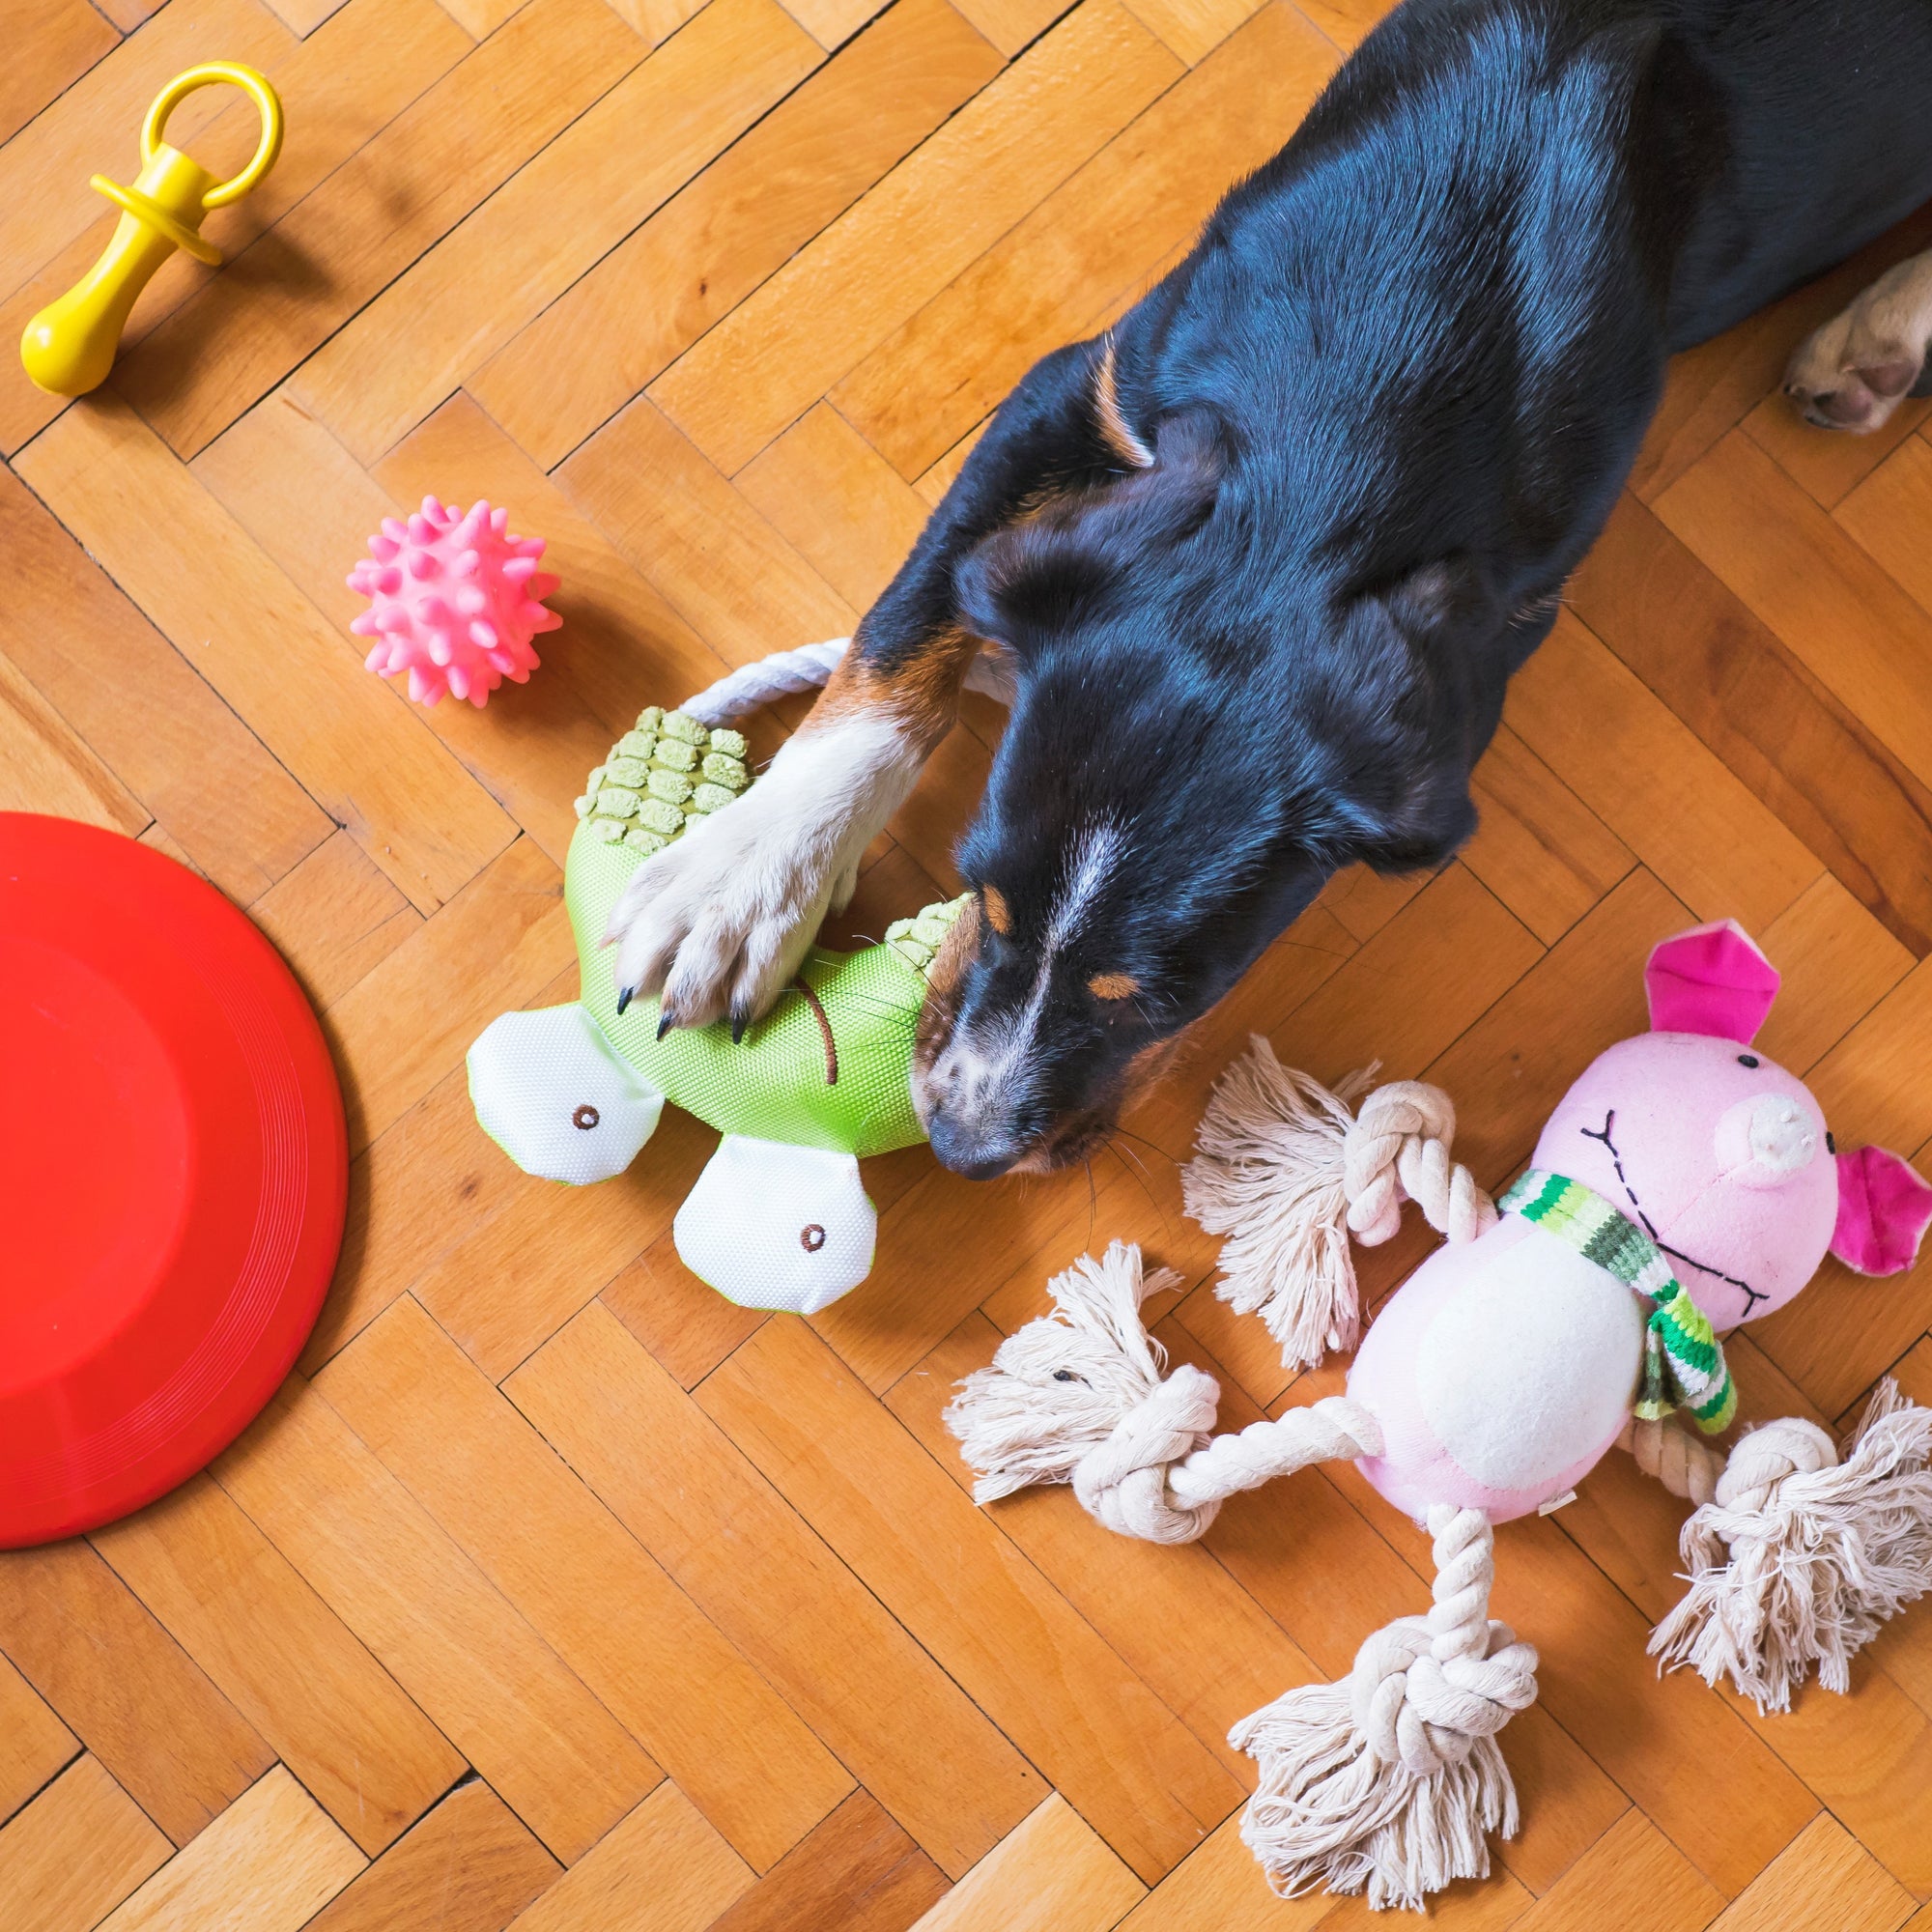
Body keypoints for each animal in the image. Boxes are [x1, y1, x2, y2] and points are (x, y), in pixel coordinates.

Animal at [611, 0, 1932, 1175]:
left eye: (1162, 997)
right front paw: (739, 883)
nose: (960, 1147)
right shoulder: (1081, 387)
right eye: (977, 891)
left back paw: (1881, 335)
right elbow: (904, 626)